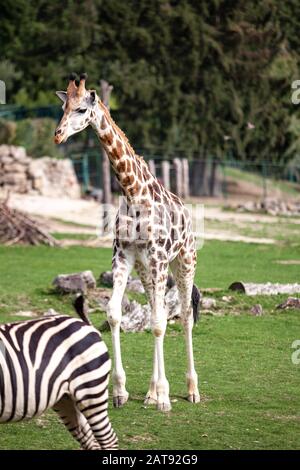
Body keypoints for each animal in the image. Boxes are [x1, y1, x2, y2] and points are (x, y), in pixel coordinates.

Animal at [54, 72, 200, 412]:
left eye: (82, 109)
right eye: (63, 107)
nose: (58, 135)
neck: (132, 192)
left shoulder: (159, 256)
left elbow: (159, 323)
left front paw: (164, 398)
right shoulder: (123, 256)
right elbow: (115, 313)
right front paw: (121, 391)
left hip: (183, 261)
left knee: (185, 315)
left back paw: (190, 390)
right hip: (147, 270)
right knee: (157, 308)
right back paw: (149, 392)